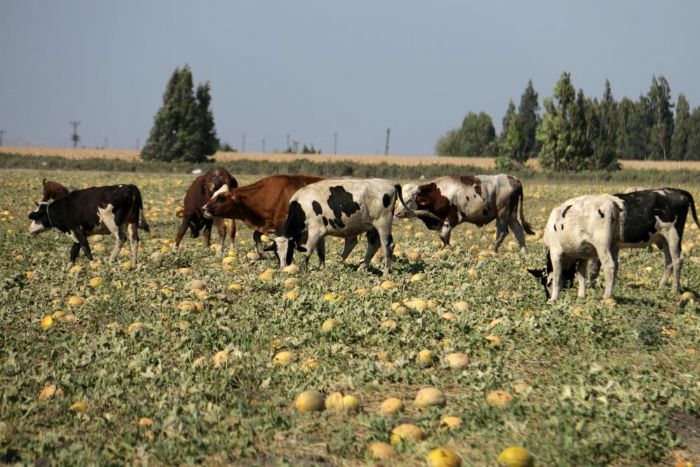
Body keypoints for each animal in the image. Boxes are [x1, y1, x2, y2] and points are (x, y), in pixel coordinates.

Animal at [201, 174, 356, 260]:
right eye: (214, 194)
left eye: (221, 197)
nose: (203, 209)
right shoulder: (268, 223)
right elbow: (256, 236)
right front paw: (262, 254)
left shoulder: (283, 224)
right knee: (351, 242)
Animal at [268, 178, 422, 274]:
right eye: (276, 253)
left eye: (289, 251)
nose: (283, 269)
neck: (302, 206)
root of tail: (391, 183)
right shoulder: (321, 233)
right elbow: (321, 252)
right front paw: (321, 268)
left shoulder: (316, 230)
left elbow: (309, 251)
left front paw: (305, 269)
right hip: (372, 227)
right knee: (373, 245)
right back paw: (362, 267)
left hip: (383, 223)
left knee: (387, 245)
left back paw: (386, 272)